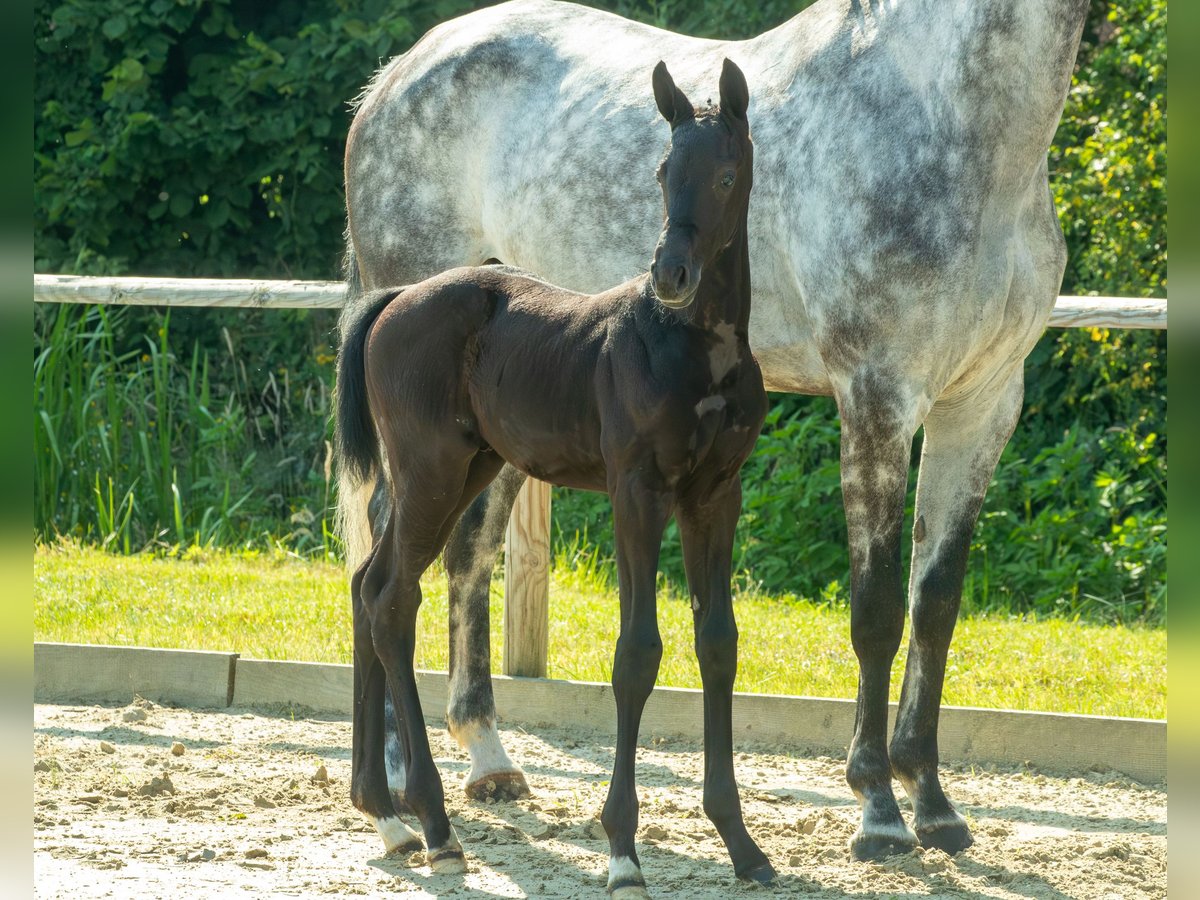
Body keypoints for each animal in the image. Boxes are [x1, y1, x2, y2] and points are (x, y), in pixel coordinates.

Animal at [333, 60, 772, 897]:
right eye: (664, 171)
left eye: (727, 174)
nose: (671, 274)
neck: (693, 349)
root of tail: (393, 300)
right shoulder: (637, 491)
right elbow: (637, 654)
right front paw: (623, 850)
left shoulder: (716, 494)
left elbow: (718, 645)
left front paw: (743, 845)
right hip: (431, 471)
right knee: (390, 598)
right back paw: (435, 827)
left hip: (467, 468)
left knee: (367, 585)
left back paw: (385, 815)